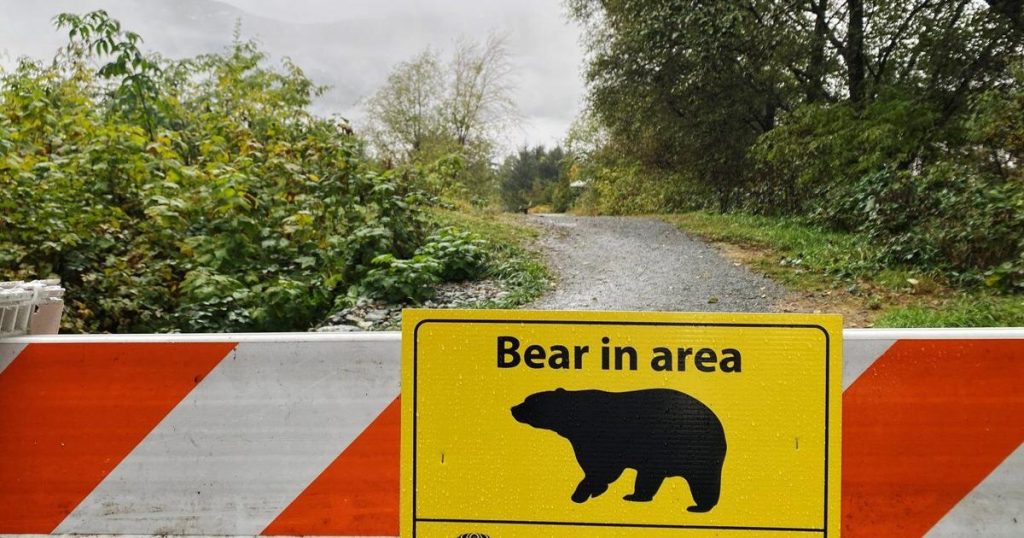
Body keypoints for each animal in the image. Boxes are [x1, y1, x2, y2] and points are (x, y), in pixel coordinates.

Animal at [511, 388, 726, 513]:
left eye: (528, 401)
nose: (513, 408)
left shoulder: (603, 436)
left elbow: (603, 468)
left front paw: (583, 491)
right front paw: (592, 489)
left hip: (696, 451)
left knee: (702, 482)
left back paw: (698, 506)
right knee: (650, 477)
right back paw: (636, 496)